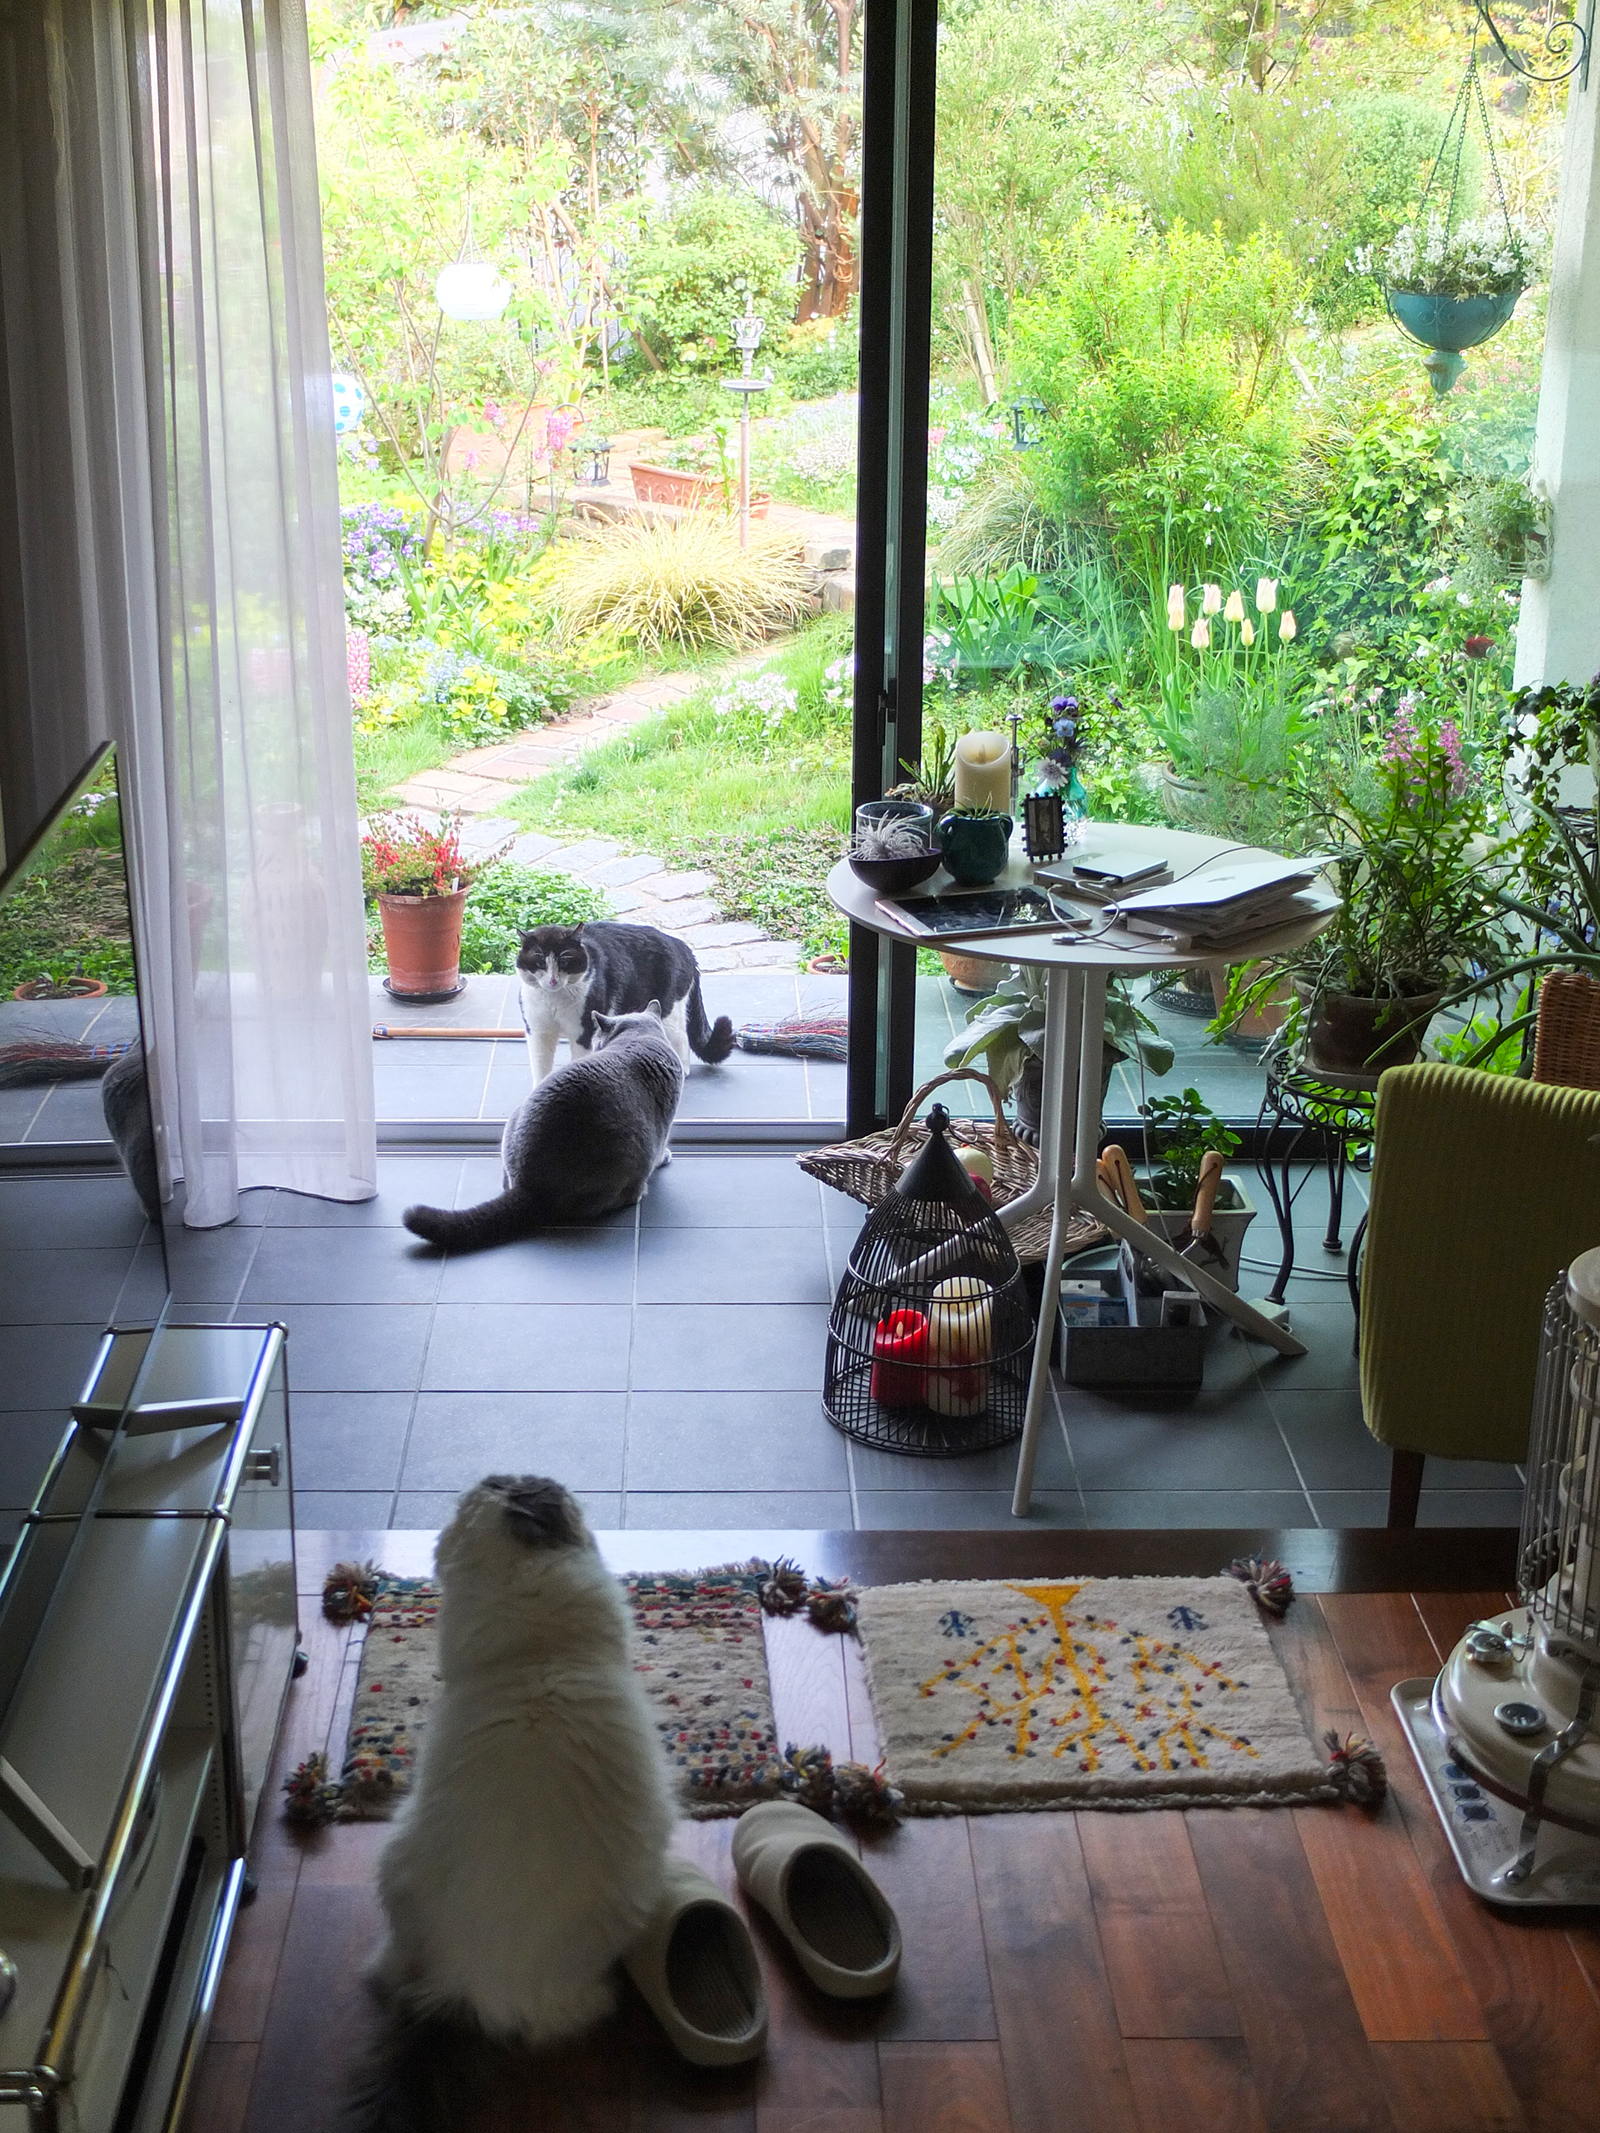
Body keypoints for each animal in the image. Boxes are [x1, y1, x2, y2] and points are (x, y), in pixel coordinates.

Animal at [402, 1003, 683, 1251]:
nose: (595, 1045)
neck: (639, 1036)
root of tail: (529, 1187)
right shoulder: (665, 1122)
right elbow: (663, 1146)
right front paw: (666, 1157)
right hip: (631, 1151)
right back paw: (638, 1192)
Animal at [518, 920, 733, 1085]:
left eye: (564, 962)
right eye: (540, 963)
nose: (553, 980)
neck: (553, 1000)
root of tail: (683, 947)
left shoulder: (584, 1032)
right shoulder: (538, 1032)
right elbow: (540, 1066)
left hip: (670, 1012)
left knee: (681, 1040)